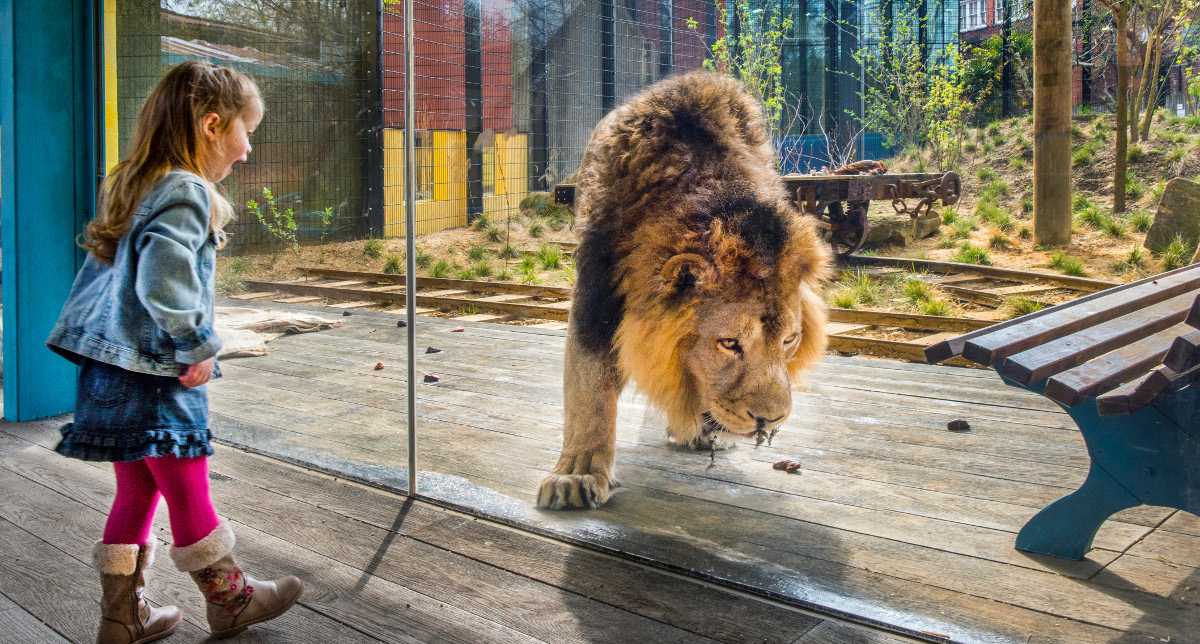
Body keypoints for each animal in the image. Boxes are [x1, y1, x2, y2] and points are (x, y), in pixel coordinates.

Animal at [535, 71, 825, 513]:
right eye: (729, 343)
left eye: (789, 340)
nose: (770, 420)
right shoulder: (596, 297)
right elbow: (589, 391)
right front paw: (577, 474)